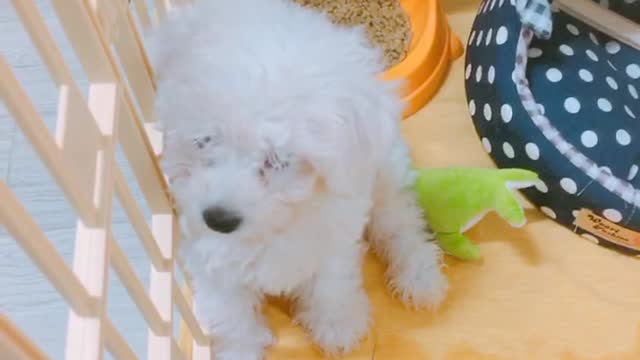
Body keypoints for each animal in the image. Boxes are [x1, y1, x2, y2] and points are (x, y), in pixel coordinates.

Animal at [148, 0, 448, 358]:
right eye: (204, 140)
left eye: (278, 160)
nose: (218, 219)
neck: (278, 221)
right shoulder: (206, 251)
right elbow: (228, 310)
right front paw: (240, 348)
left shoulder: (335, 232)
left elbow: (330, 282)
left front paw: (337, 326)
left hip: (385, 175)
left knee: (401, 224)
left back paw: (419, 277)